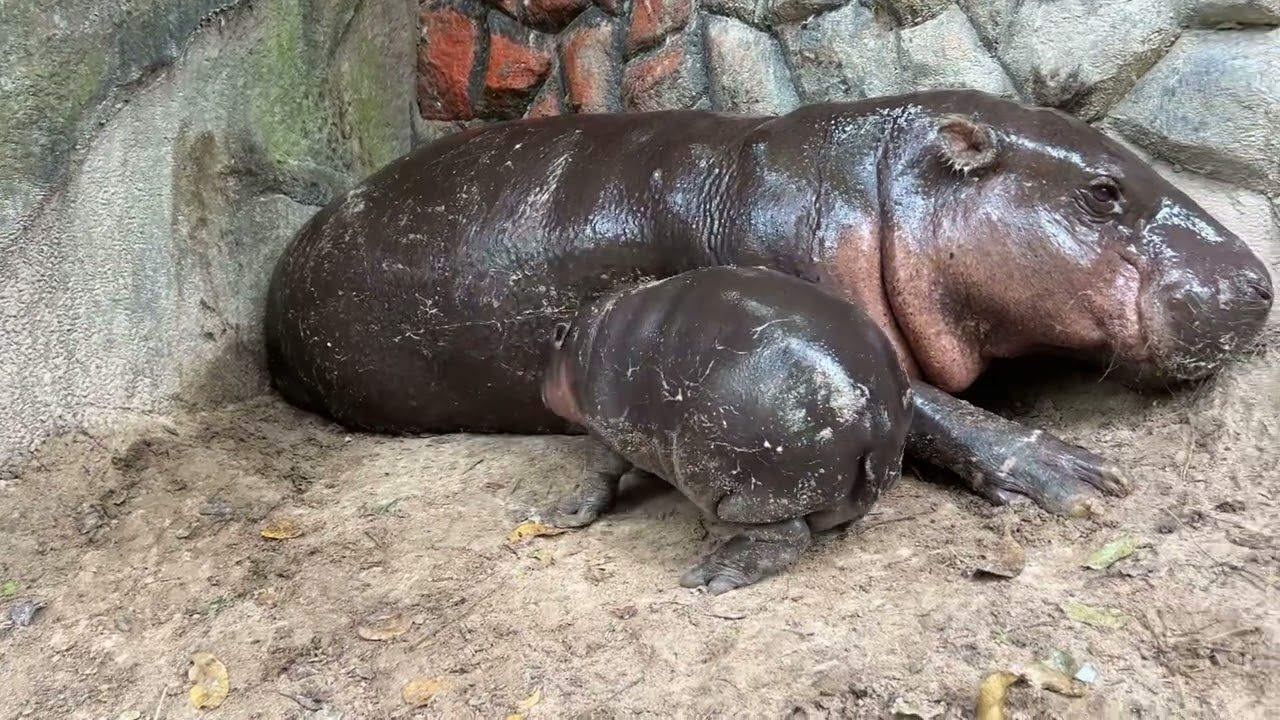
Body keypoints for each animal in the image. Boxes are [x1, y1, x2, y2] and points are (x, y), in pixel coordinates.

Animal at [262, 88, 1274, 519]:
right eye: (1103, 191)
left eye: (1125, 156)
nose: (1261, 280)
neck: (871, 190)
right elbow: (918, 403)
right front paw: (1080, 476)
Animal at [538, 265, 913, 594]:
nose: (540, 391)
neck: (580, 348)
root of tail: (877, 422)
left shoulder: (607, 429)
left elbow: (599, 471)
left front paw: (565, 512)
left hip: (754, 492)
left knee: (786, 537)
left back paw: (710, 577)